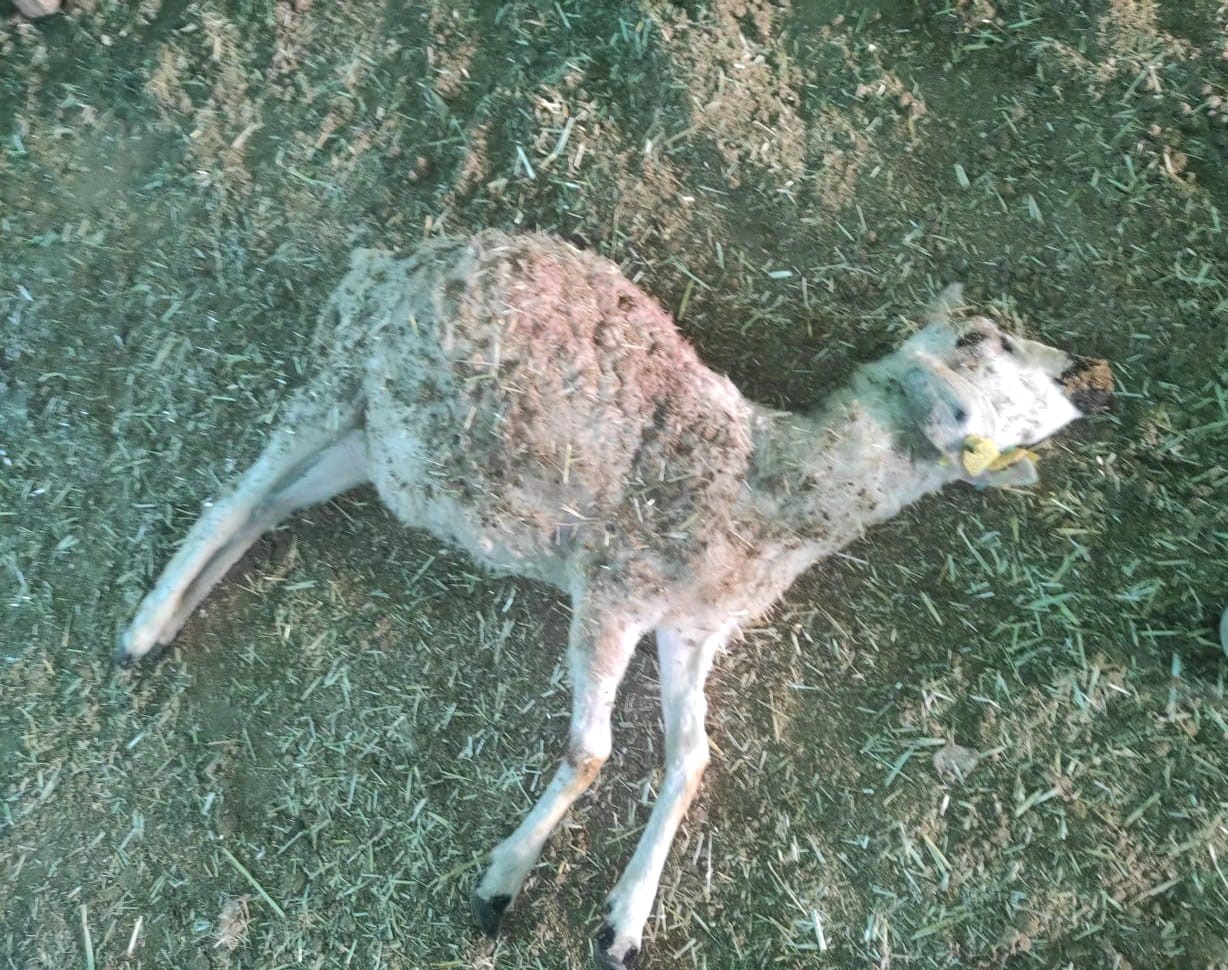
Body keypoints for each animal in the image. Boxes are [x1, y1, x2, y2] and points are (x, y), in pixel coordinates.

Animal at [117, 229, 1115, 970]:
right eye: (981, 339)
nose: (1084, 372)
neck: (761, 486)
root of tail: (400, 256)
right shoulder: (613, 593)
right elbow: (592, 749)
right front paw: (503, 880)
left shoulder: (689, 631)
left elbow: (692, 756)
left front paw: (624, 919)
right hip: (342, 374)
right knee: (234, 496)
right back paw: (143, 629)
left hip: (379, 449)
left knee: (271, 507)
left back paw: (176, 617)